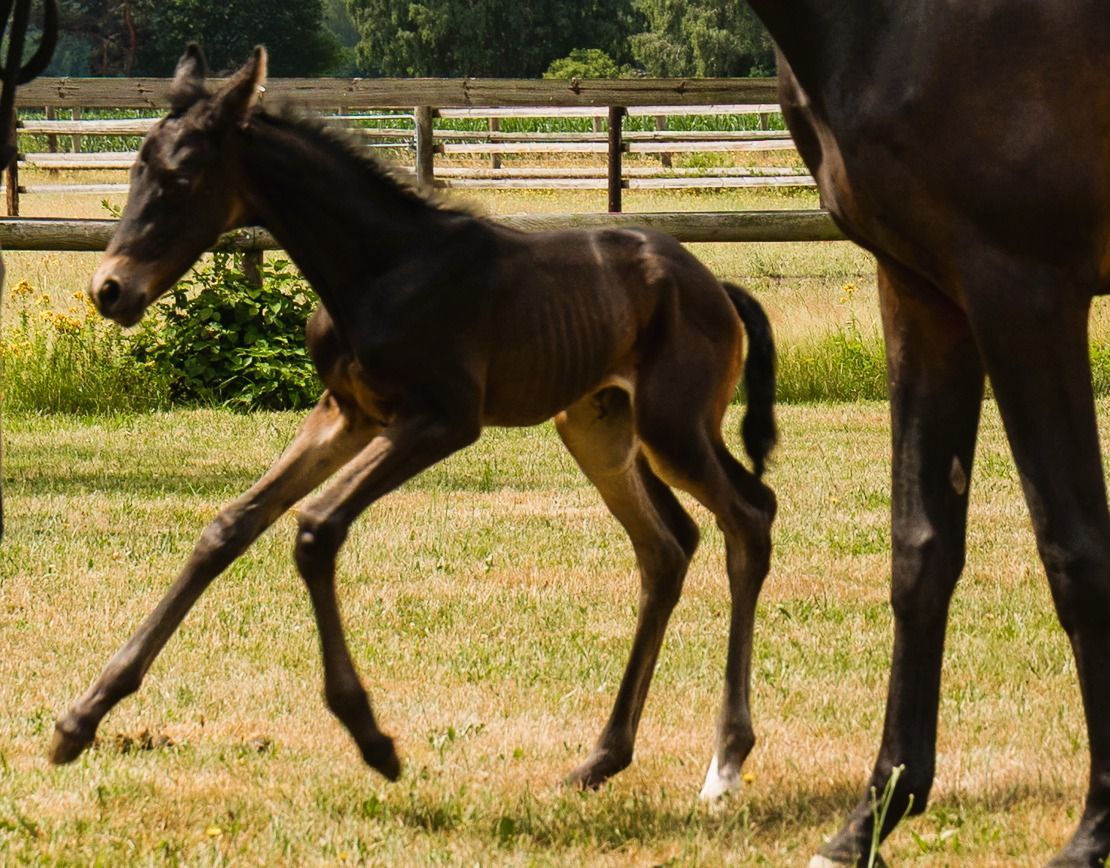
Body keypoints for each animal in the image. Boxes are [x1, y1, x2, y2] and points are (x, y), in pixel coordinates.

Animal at [49, 45, 779, 796]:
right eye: (135, 167)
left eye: (182, 176)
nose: (110, 290)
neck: (378, 268)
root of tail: (715, 287)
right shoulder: (348, 414)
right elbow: (230, 526)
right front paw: (81, 719)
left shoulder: (442, 419)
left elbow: (315, 529)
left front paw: (373, 739)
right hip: (599, 428)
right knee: (667, 548)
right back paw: (602, 758)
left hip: (672, 428)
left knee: (750, 516)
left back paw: (725, 759)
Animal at [743, 2, 1110, 865]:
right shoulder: (924, 292)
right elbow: (921, 550)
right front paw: (875, 812)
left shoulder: (1024, 292)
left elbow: (1078, 552)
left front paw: (1097, 828)